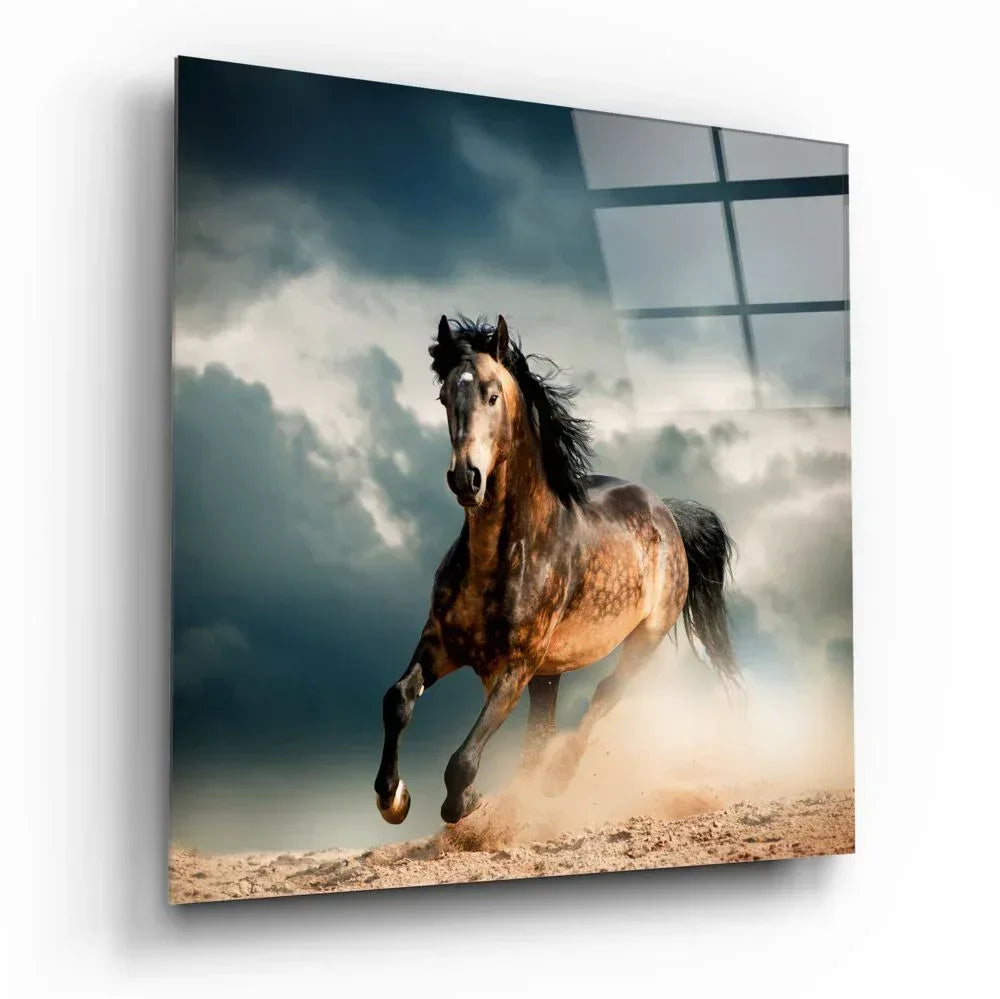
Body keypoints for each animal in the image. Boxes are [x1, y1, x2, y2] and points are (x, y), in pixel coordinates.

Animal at [374, 314, 740, 826]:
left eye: (492, 395)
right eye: (445, 396)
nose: (466, 479)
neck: (504, 554)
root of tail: (667, 512)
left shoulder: (516, 665)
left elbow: (462, 760)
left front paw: (466, 802)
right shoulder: (441, 642)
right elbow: (398, 699)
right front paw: (393, 798)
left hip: (642, 641)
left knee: (603, 696)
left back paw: (557, 779)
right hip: (550, 673)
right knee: (543, 731)